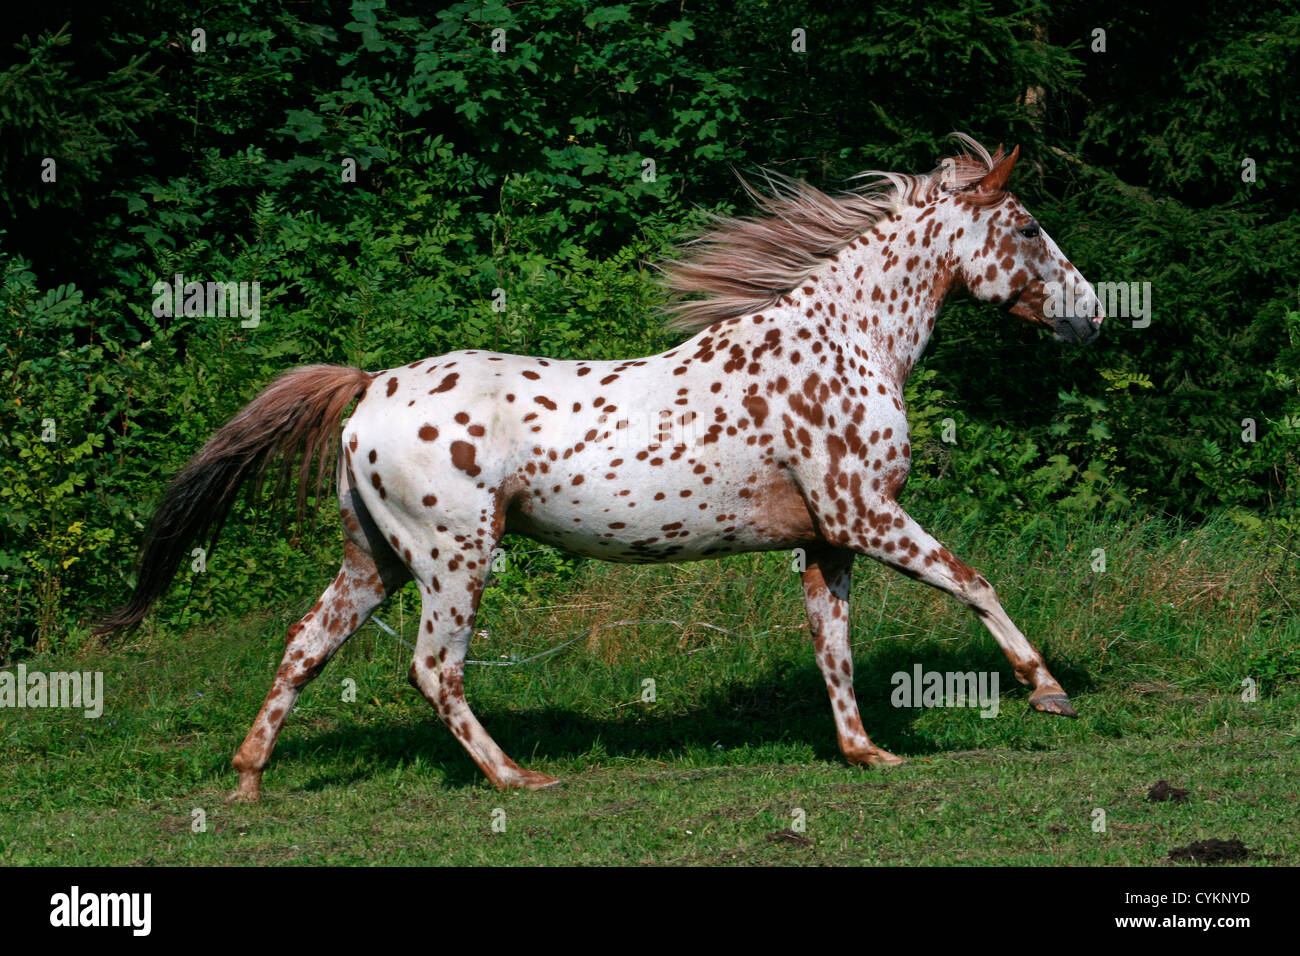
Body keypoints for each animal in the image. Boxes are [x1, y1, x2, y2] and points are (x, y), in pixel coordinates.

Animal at [96, 134, 1102, 801]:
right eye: (1028, 226)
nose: (1093, 312)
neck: (847, 341)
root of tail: (370, 387)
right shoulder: (867, 515)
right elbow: (973, 581)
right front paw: (1046, 691)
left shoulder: (830, 539)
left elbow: (835, 647)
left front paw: (865, 754)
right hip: (455, 557)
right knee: (433, 668)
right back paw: (515, 777)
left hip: (373, 561)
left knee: (307, 646)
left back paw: (248, 779)